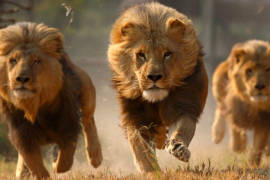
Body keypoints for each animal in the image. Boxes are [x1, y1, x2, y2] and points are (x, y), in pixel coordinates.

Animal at [0, 22, 102, 179]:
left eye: (36, 61)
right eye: (13, 60)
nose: (21, 78)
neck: (35, 107)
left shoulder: (68, 125)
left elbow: (64, 160)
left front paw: (55, 163)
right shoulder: (22, 135)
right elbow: (34, 163)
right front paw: (35, 172)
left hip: (86, 89)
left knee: (88, 120)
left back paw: (95, 156)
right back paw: (21, 171)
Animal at [106, 2, 208, 172]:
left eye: (167, 54)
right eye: (141, 55)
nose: (154, 77)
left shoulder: (184, 106)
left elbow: (183, 128)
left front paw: (179, 148)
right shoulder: (135, 117)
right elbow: (141, 148)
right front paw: (150, 170)